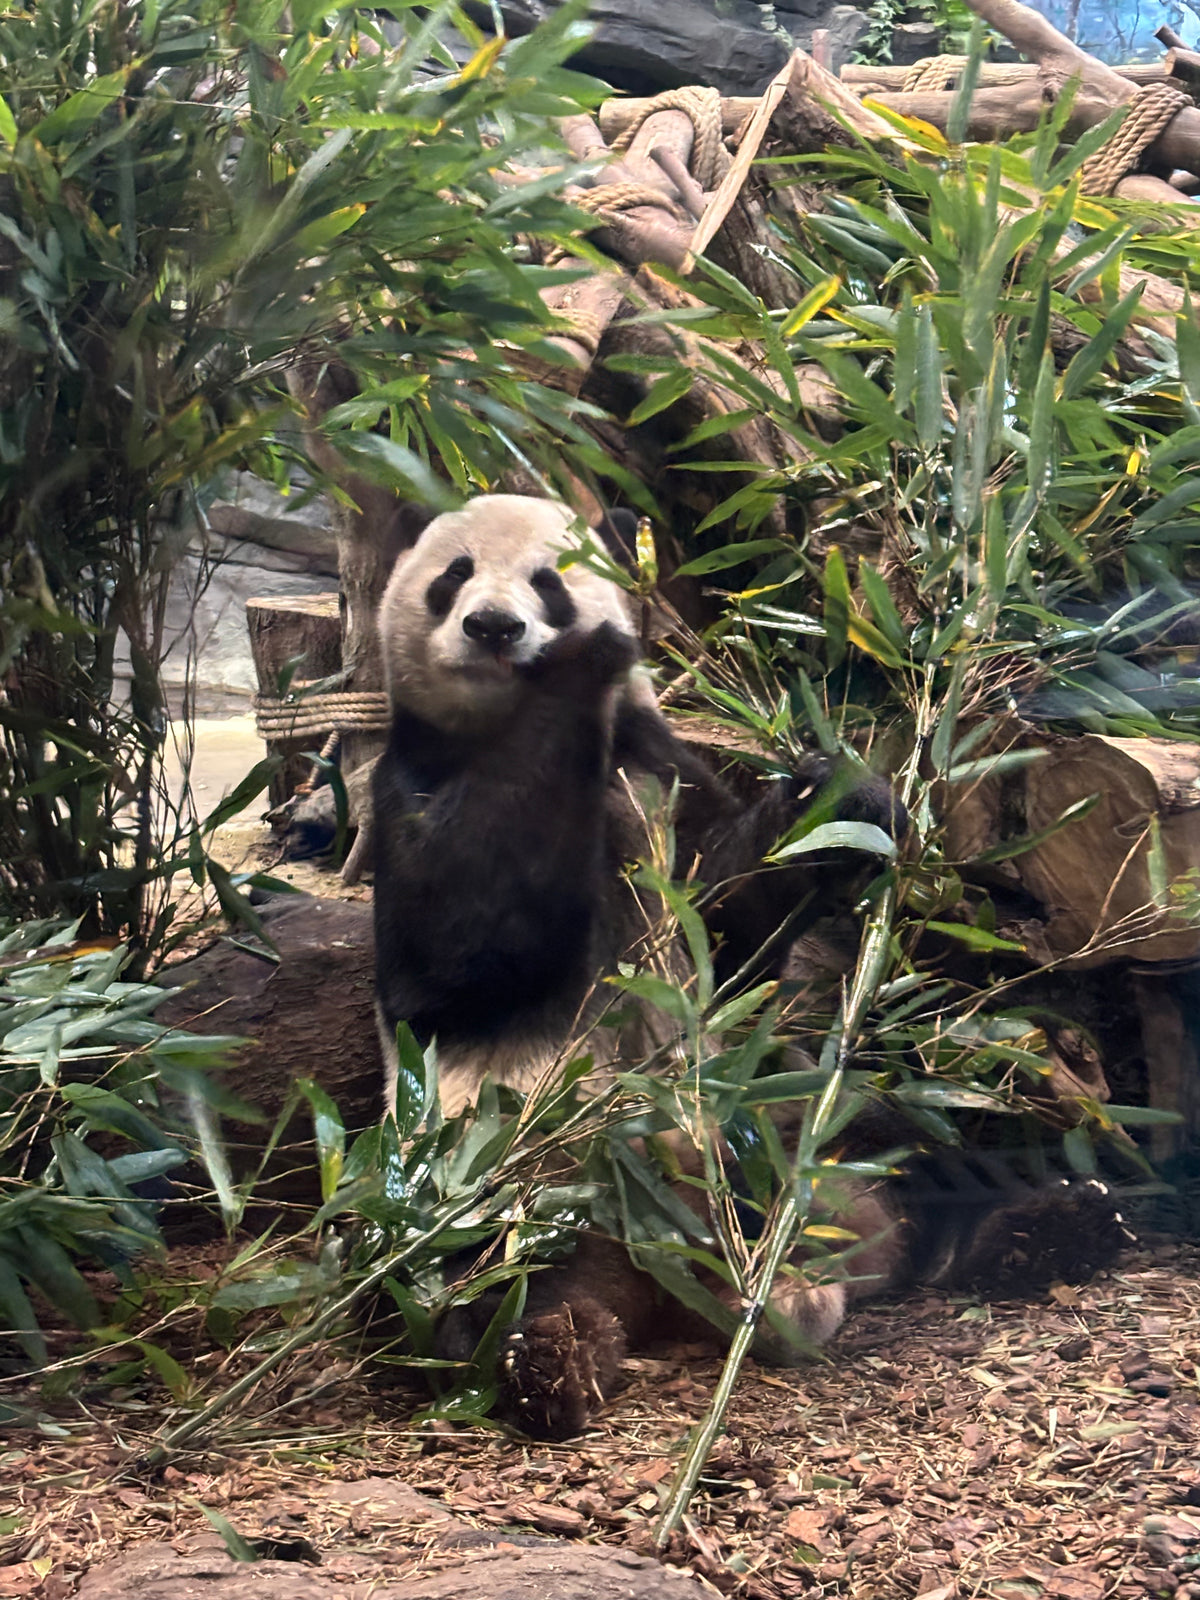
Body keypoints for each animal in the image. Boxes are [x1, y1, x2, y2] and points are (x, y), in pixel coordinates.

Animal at [372, 494, 1130, 1439]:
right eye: (455, 575)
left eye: (547, 578)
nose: (494, 627)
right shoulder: (412, 783)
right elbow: (462, 947)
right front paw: (580, 665)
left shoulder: (660, 776)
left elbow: (731, 928)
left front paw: (835, 799)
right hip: (483, 1166)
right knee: (478, 1273)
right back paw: (547, 1357)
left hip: (808, 1128)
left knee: (913, 1155)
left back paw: (1044, 1223)